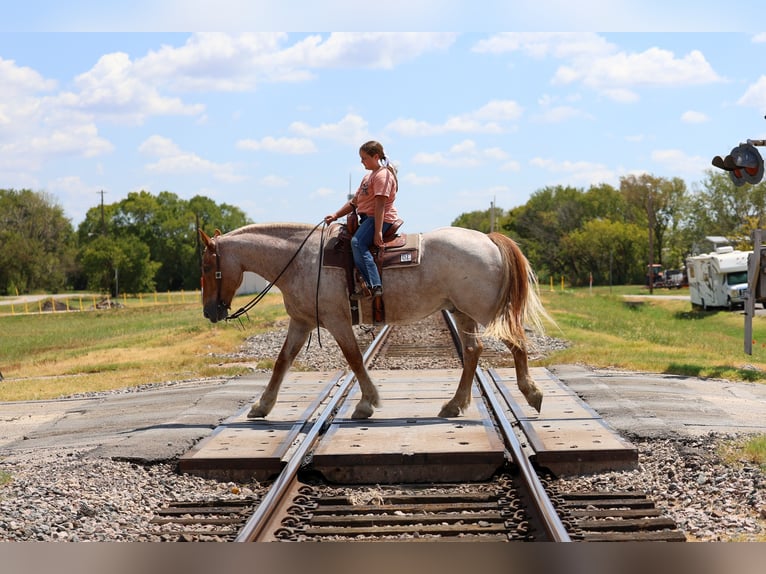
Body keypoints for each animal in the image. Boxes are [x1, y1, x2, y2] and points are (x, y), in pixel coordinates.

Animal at [199, 223, 550, 420]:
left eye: (206, 266)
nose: (209, 312)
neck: (301, 260)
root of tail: (489, 239)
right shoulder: (301, 322)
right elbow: (282, 362)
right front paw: (262, 406)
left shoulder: (336, 320)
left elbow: (354, 359)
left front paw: (367, 403)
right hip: (461, 312)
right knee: (474, 351)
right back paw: (454, 405)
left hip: (484, 311)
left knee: (515, 342)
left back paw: (531, 393)